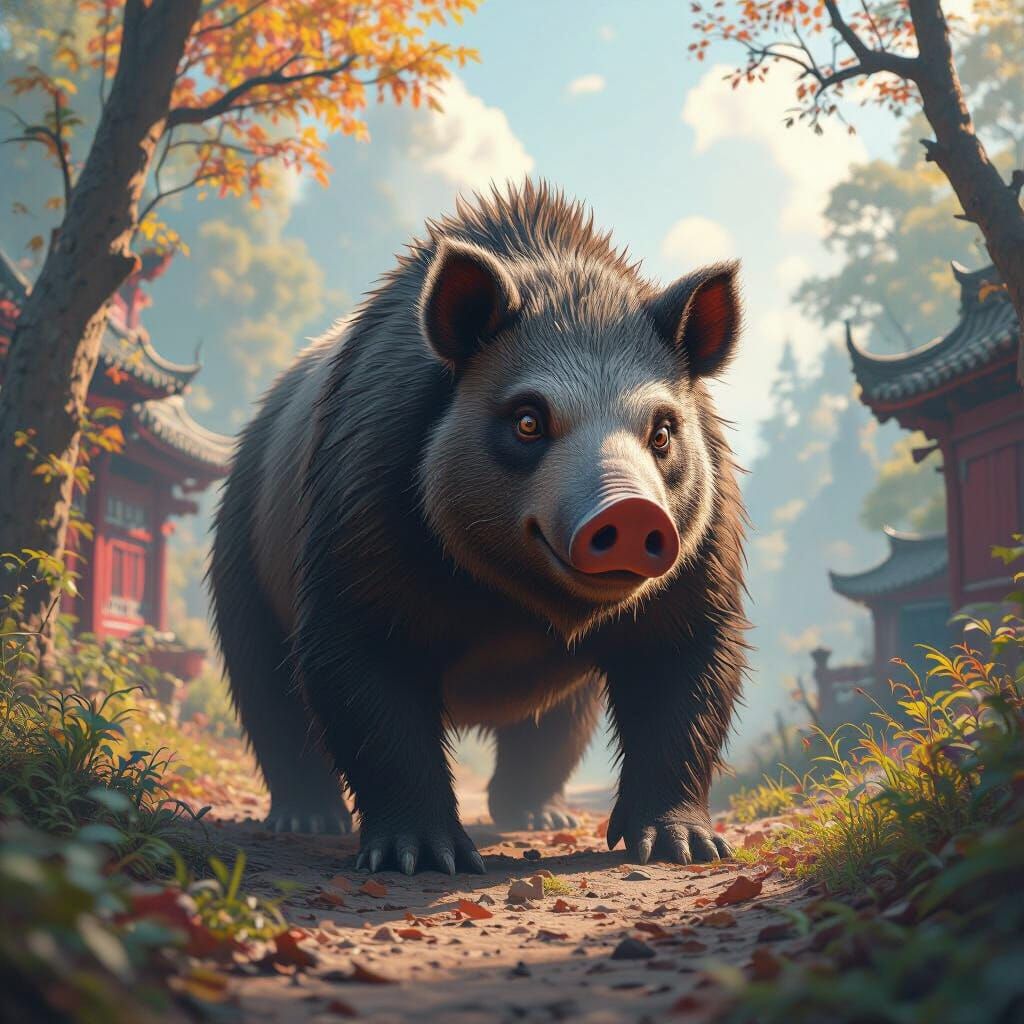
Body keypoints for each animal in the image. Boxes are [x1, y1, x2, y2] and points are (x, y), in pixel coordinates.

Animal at [209, 180, 748, 875]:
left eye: (661, 430)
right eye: (528, 419)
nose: (631, 512)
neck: (511, 605)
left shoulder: (702, 558)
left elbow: (687, 667)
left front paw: (684, 847)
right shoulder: (355, 519)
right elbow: (361, 671)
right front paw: (418, 857)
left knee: (558, 720)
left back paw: (540, 816)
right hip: (241, 552)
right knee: (267, 690)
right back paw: (305, 820)